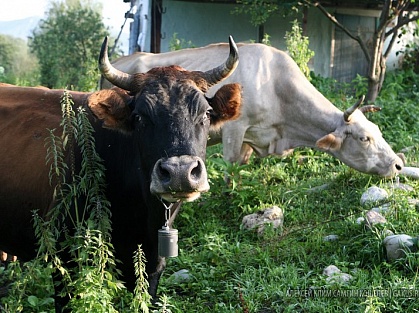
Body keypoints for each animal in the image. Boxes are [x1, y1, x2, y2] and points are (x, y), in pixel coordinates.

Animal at [101, 41, 404, 177]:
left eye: (378, 130)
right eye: (364, 138)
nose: (398, 164)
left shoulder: (252, 138)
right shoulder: (234, 129)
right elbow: (230, 171)